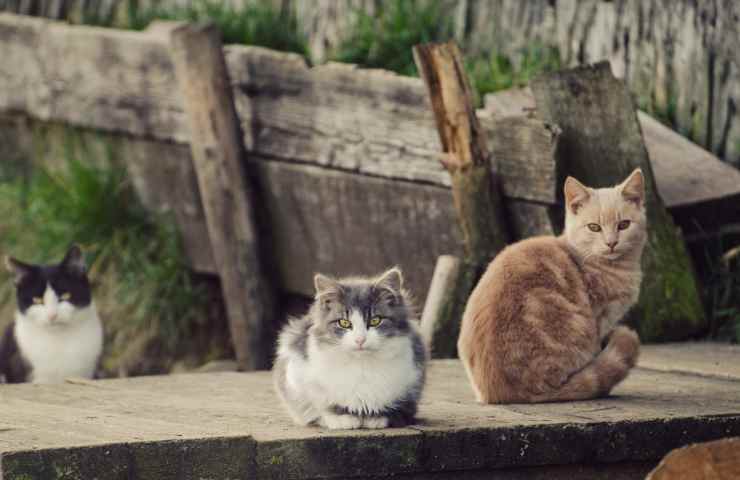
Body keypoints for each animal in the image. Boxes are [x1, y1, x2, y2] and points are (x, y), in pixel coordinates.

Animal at [274, 268, 424, 430]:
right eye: (344, 323)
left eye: (375, 320)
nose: (360, 340)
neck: (361, 363)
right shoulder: (298, 378)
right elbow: (324, 407)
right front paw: (343, 419)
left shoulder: (410, 381)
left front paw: (376, 418)